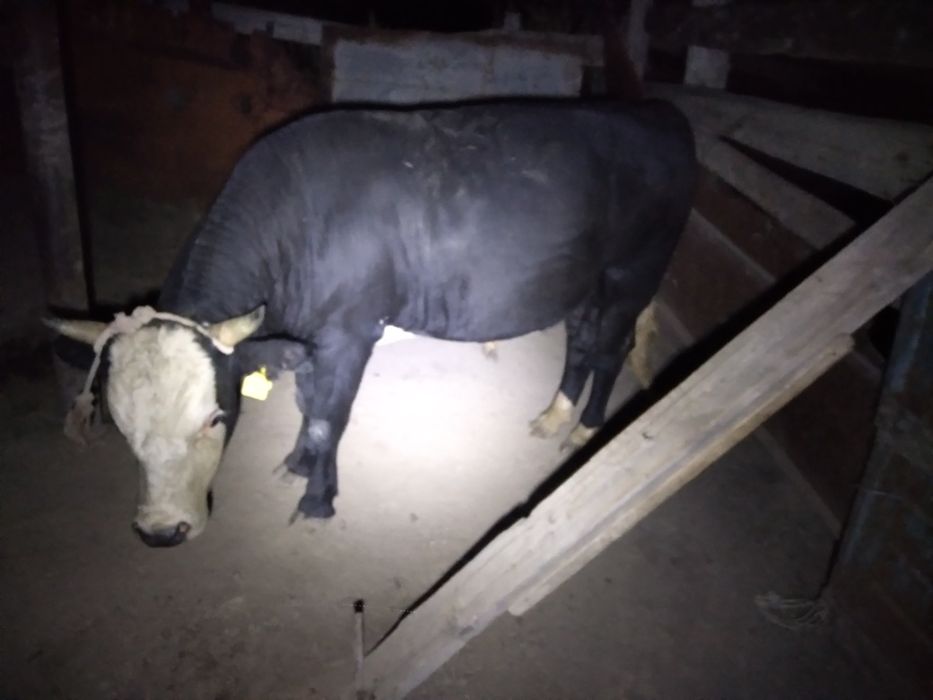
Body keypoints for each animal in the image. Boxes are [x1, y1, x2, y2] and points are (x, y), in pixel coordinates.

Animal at [49, 99, 697, 547]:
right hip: (581, 282)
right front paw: (298, 467)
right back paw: (555, 414)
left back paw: (585, 431)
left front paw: (317, 501)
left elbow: (328, 419)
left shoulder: (352, 331)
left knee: (611, 348)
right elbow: (309, 404)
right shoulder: (311, 338)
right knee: (582, 343)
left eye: (215, 417)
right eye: (120, 426)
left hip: (633, 273)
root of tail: (657, 112)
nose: (161, 532)